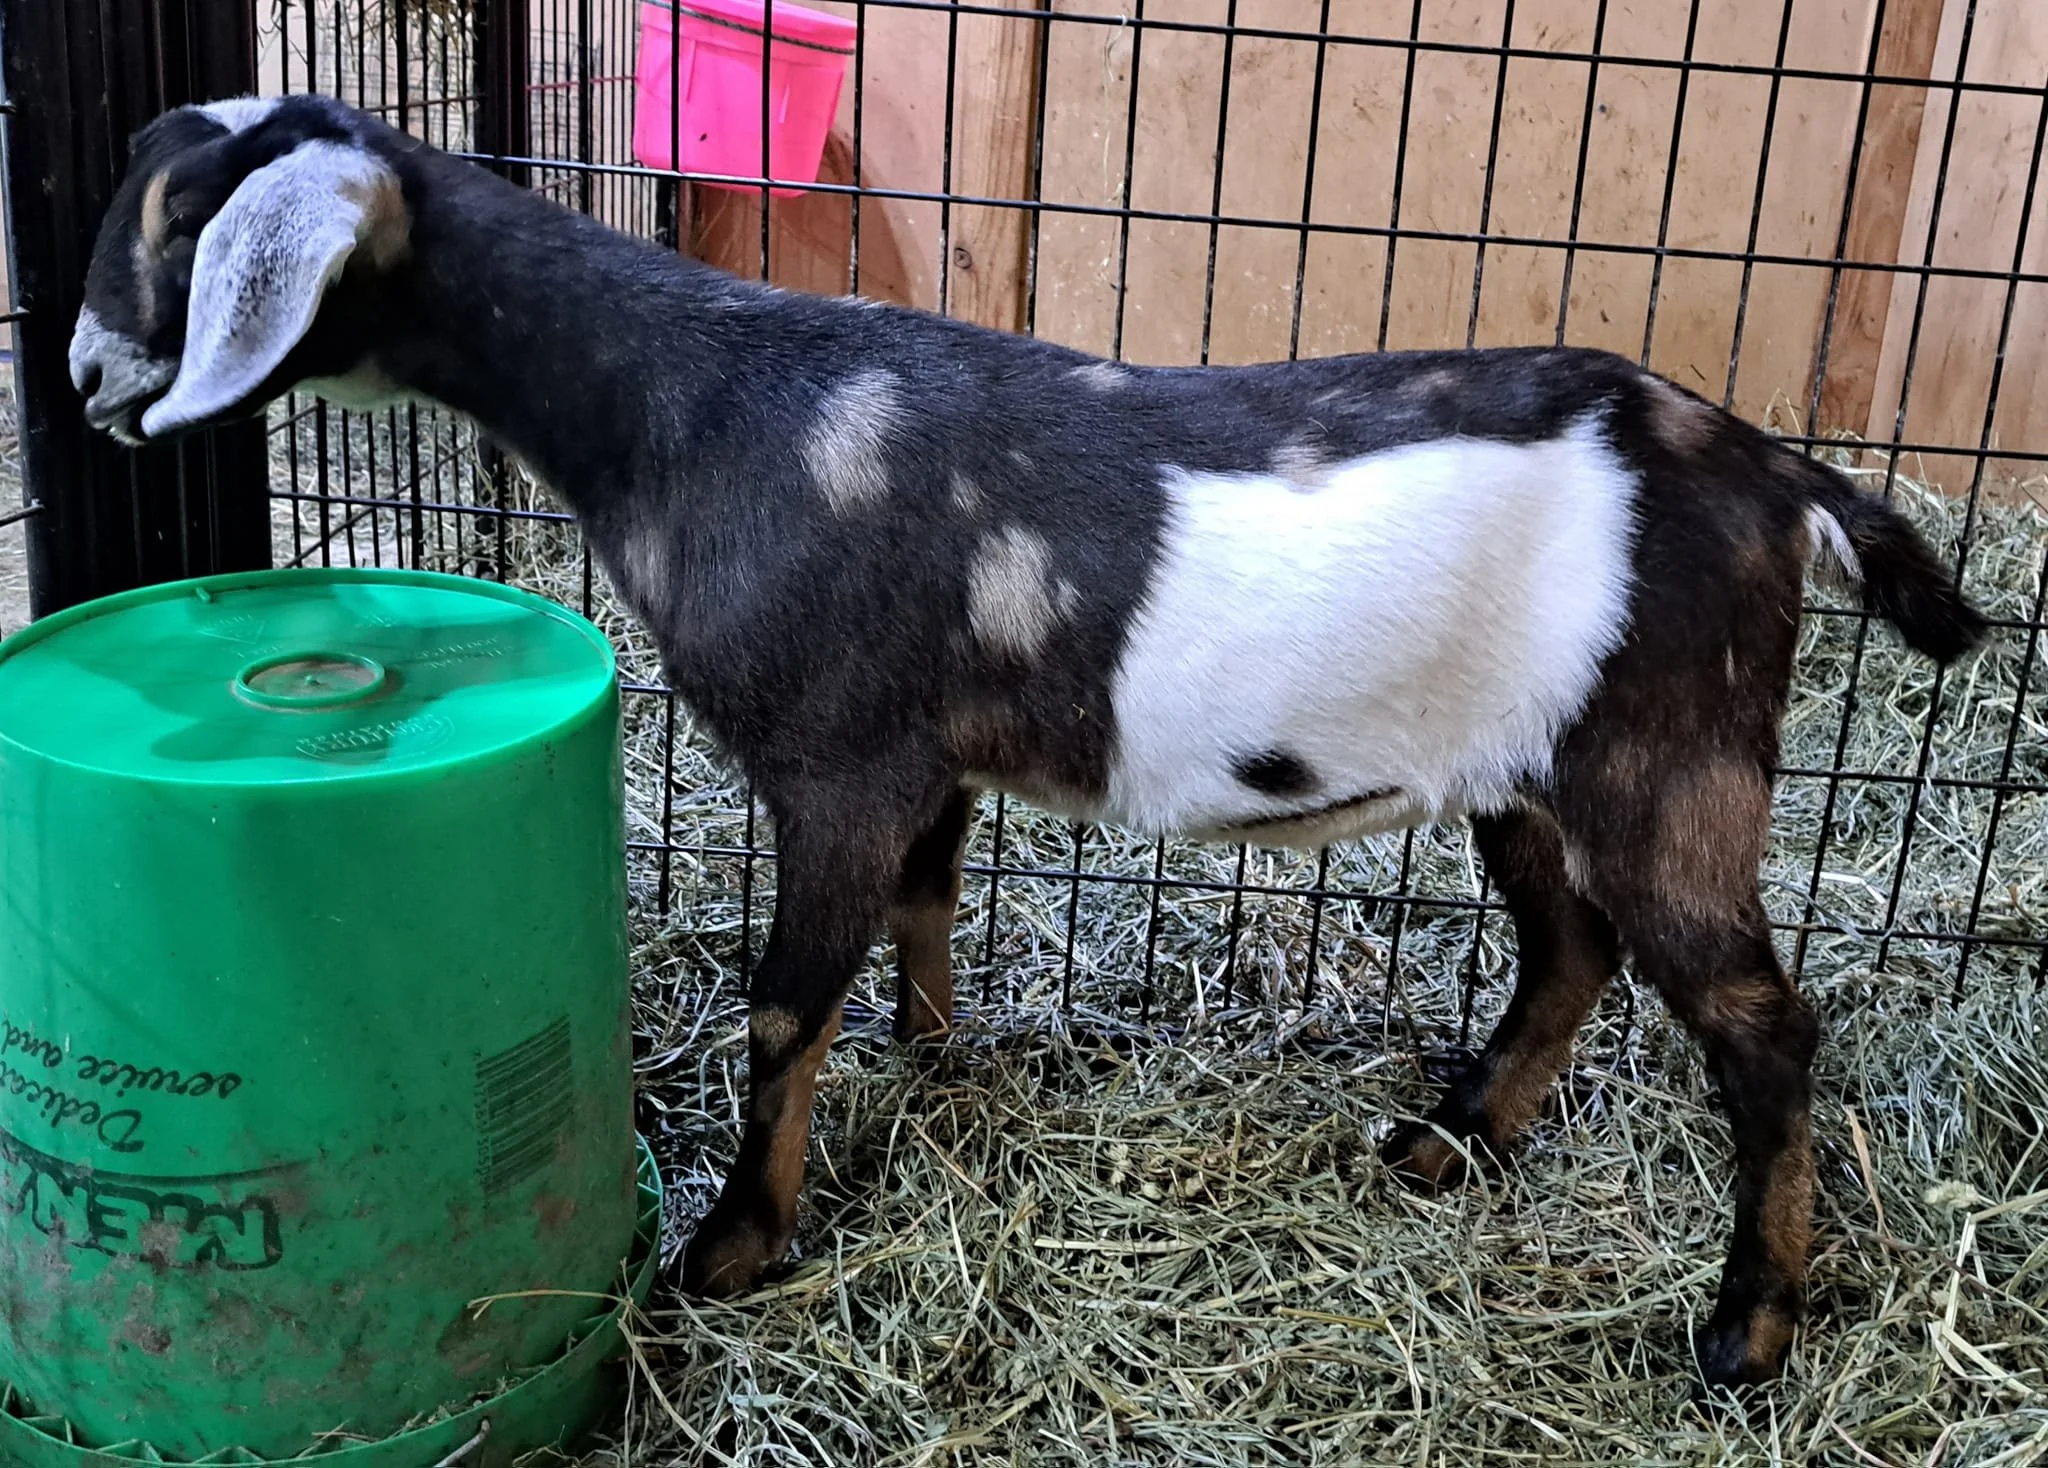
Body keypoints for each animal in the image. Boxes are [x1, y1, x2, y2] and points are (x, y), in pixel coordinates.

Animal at [69, 94, 1987, 1388]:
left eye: (170, 220)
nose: (84, 380)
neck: (688, 401)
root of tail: (1772, 481)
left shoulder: (834, 760)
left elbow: (784, 1004)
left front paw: (734, 1243)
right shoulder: (923, 762)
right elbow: (928, 908)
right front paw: (941, 1072)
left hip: (1667, 752)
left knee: (1760, 1025)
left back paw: (1745, 1326)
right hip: (1521, 767)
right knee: (1569, 945)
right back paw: (1449, 1143)